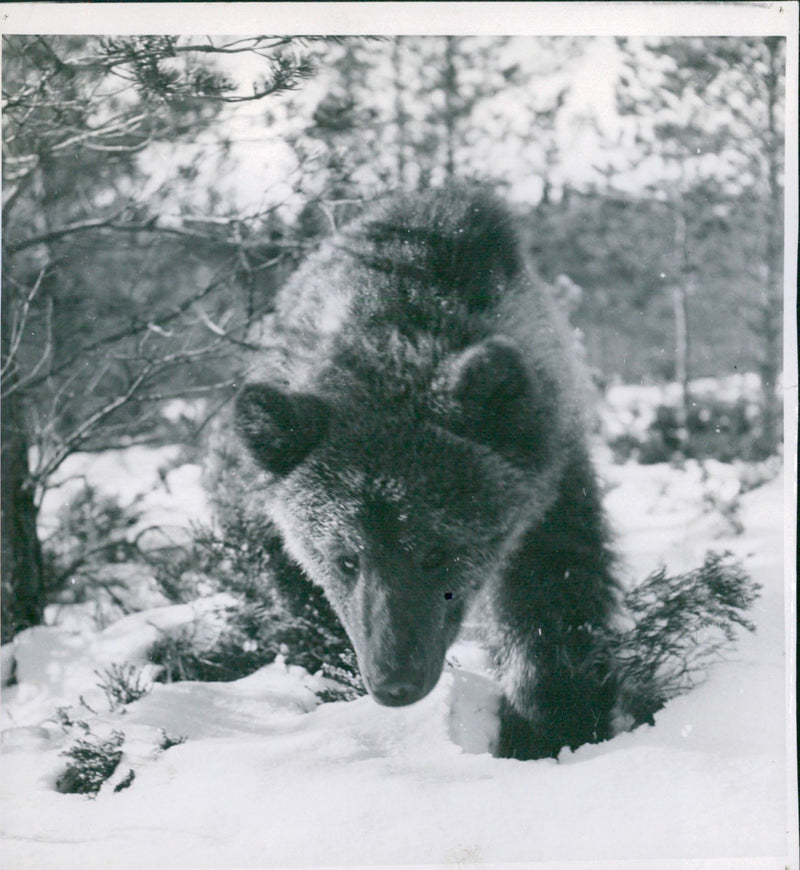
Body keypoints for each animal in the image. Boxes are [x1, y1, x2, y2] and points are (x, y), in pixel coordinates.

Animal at [234, 184, 627, 760]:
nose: (395, 681)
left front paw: (553, 719)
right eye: (345, 559)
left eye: (437, 550)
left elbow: (555, 593)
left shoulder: (549, 479)